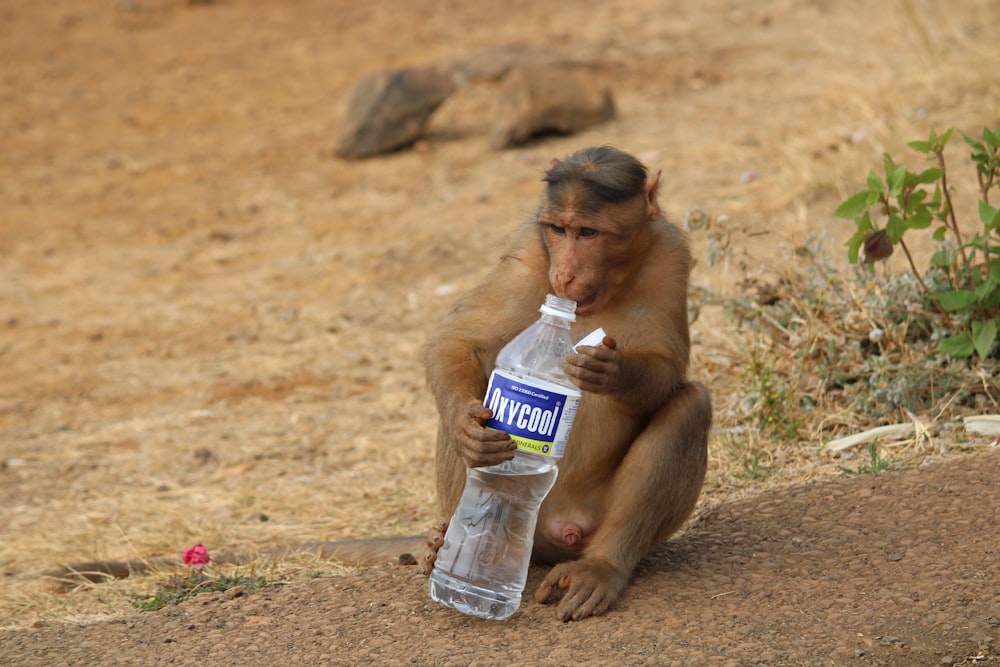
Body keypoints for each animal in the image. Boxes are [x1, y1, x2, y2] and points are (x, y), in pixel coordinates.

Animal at [422, 145, 712, 620]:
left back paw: (601, 566)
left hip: (590, 523)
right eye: (559, 230)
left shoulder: (669, 255)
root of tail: (557, 530)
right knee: (471, 390)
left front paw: (611, 370)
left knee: (691, 404)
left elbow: (666, 370)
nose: (564, 275)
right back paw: (453, 540)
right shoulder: (528, 248)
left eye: (588, 232)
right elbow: (462, 342)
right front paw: (471, 431)